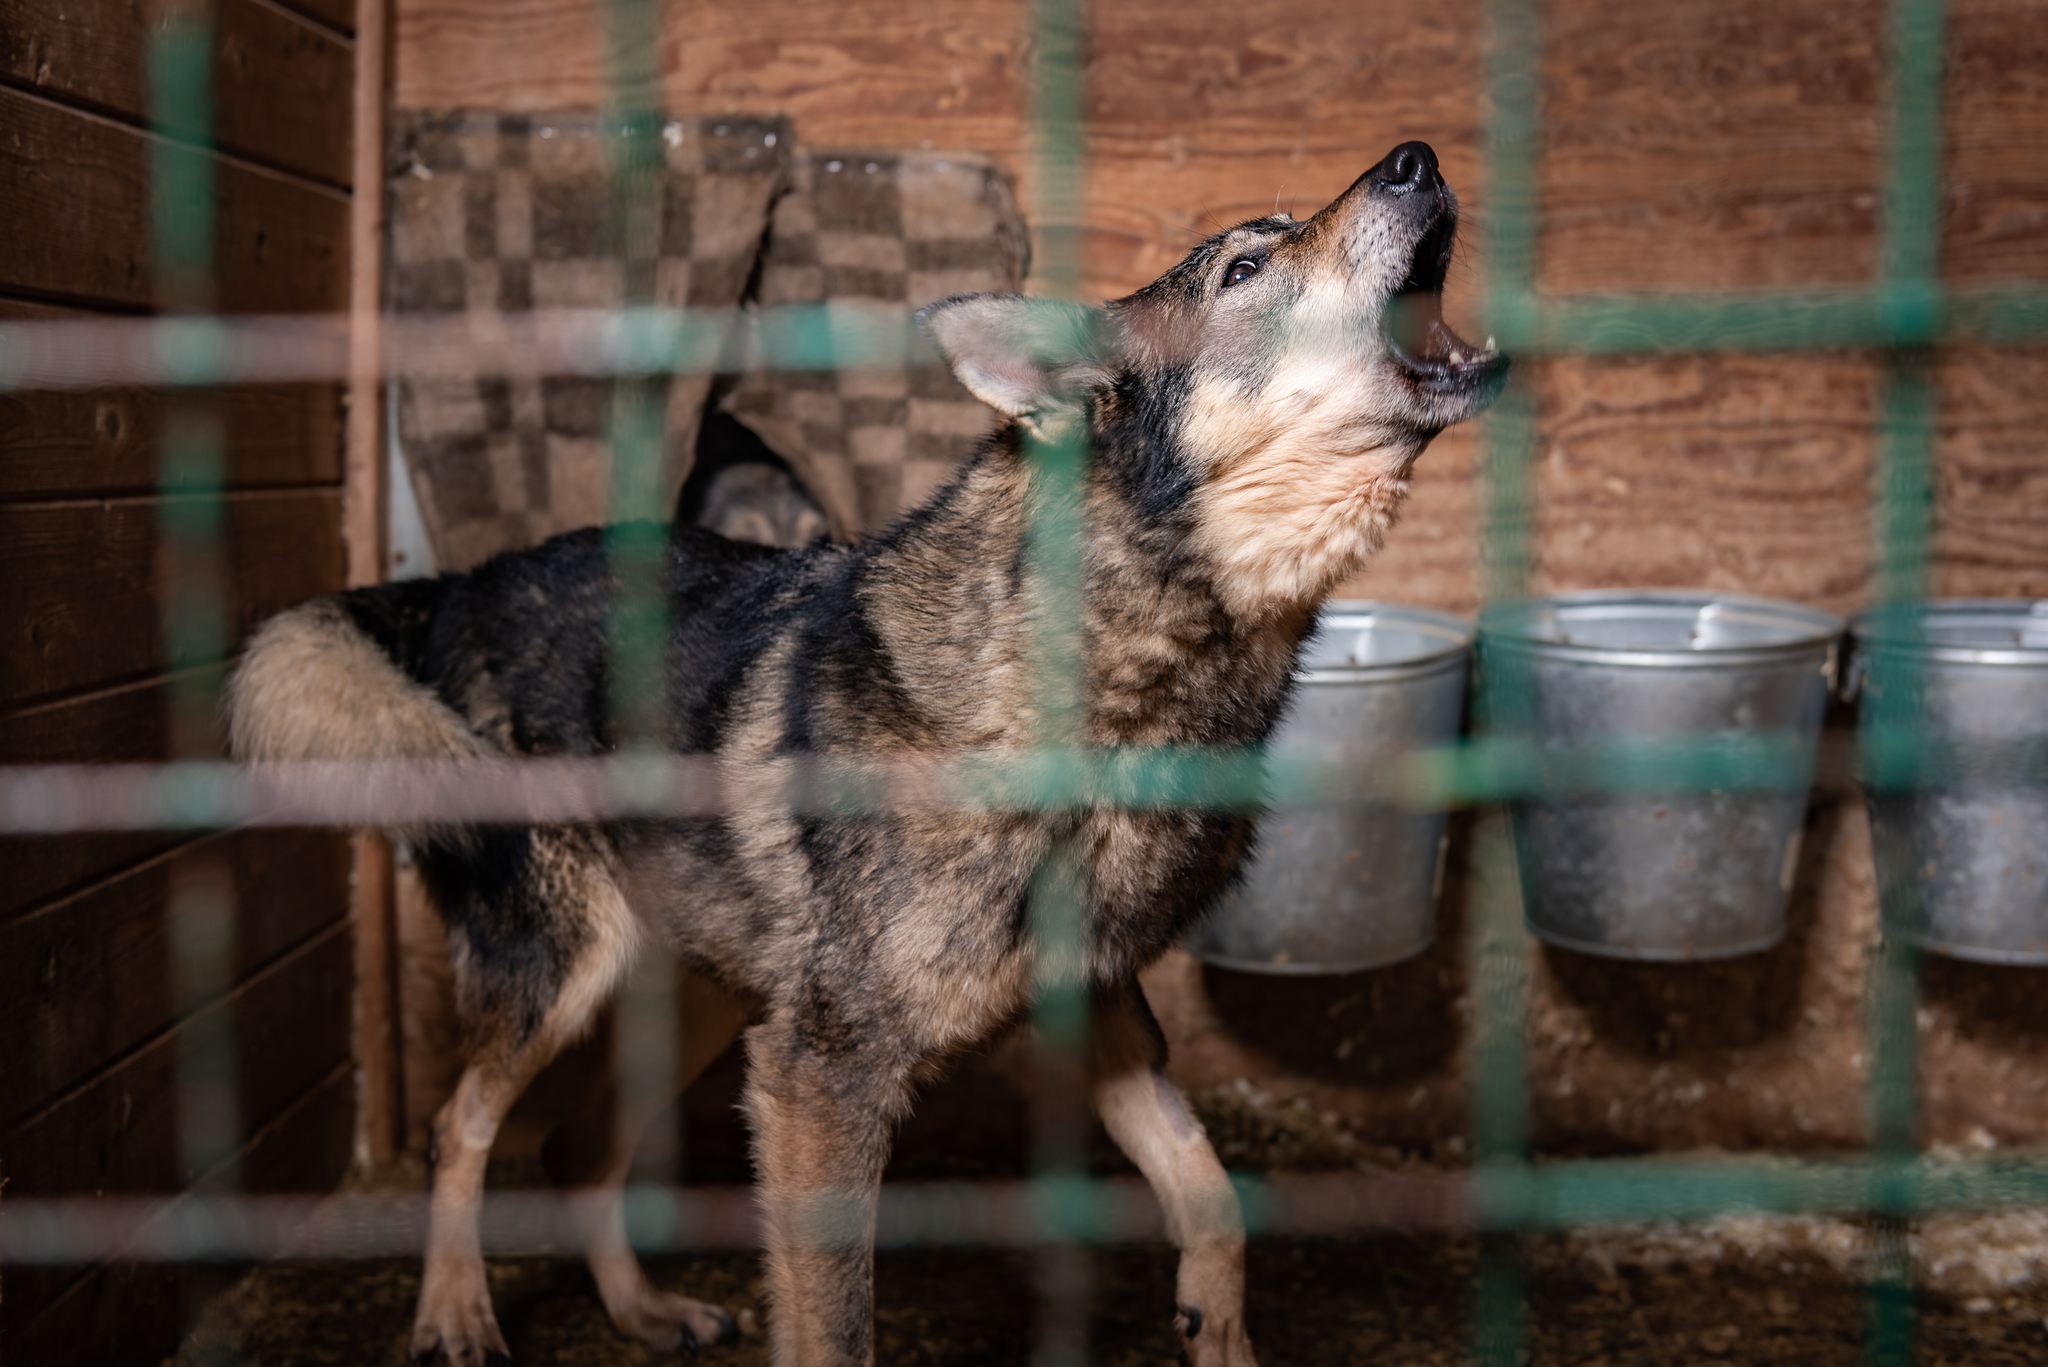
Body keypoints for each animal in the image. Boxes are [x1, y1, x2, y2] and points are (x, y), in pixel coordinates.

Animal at [228, 141, 1507, 1367]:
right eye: (1242, 266)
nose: (1417, 157)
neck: (1114, 693)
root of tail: (459, 584)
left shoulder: (1095, 1011)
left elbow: (1212, 1197)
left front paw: (1216, 1329)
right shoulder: (820, 1076)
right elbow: (835, 1326)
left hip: (713, 997)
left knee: (574, 1148)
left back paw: (644, 1312)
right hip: (566, 971)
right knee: (463, 1126)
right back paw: (452, 1312)